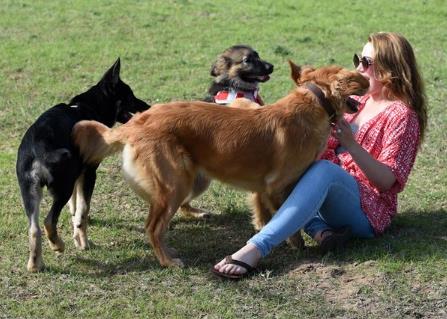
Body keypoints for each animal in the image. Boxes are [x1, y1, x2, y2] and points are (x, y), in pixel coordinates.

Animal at [16, 58, 150, 272]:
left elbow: (76, 207)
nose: (147, 106)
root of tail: (38, 149)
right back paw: (58, 245)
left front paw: (78, 236)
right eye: (130, 95)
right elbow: (83, 210)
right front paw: (84, 243)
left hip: (30, 192)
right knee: (48, 221)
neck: (85, 107)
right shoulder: (89, 173)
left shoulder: (78, 176)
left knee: (34, 229)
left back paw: (35, 264)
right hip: (62, 187)